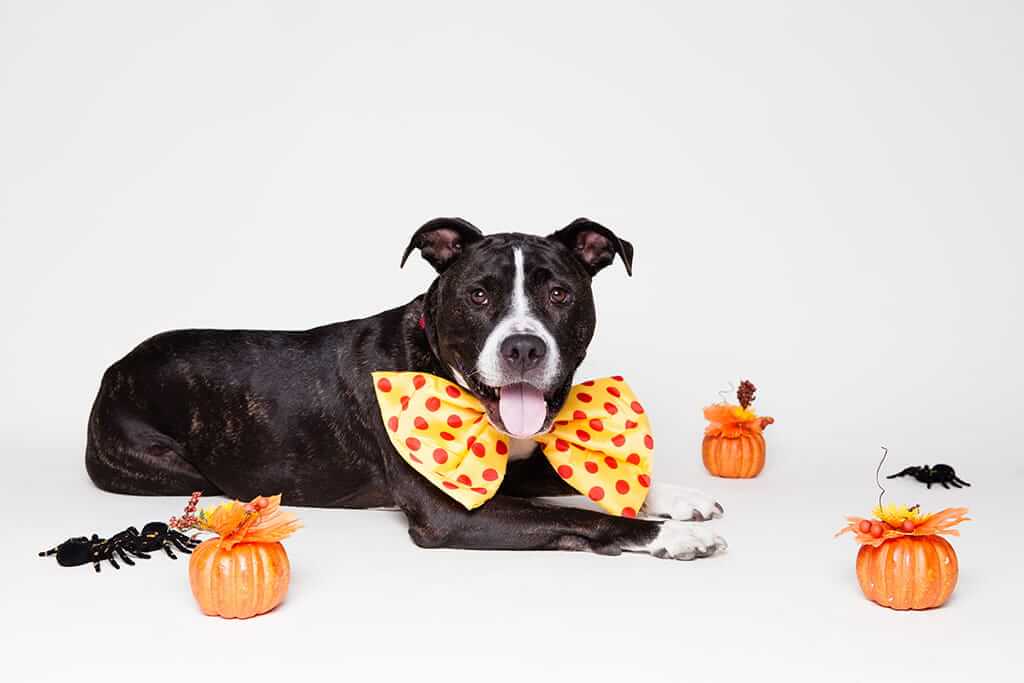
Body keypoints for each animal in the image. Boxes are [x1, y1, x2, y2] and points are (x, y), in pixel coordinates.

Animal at [88, 219, 729, 561]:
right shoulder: (451, 514)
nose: (523, 348)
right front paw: (667, 536)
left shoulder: (512, 469)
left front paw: (677, 499)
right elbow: (580, 516)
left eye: (560, 294)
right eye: (478, 294)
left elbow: (577, 482)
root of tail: (117, 364)